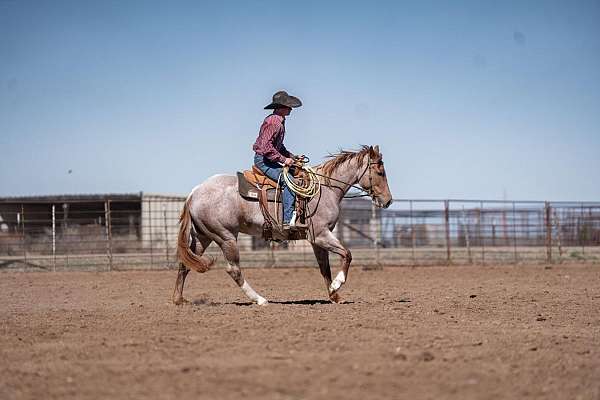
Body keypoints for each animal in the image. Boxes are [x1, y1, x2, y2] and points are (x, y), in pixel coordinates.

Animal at [172, 145, 394, 304]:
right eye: (380, 172)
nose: (388, 201)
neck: (326, 189)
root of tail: (194, 192)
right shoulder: (321, 234)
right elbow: (347, 254)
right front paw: (337, 285)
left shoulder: (315, 240)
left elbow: (324, 268)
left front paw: (334, 295)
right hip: (226, 237)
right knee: (233, 269)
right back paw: (259, 299)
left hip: (203, 236)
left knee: (186, 263)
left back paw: (179, 299)